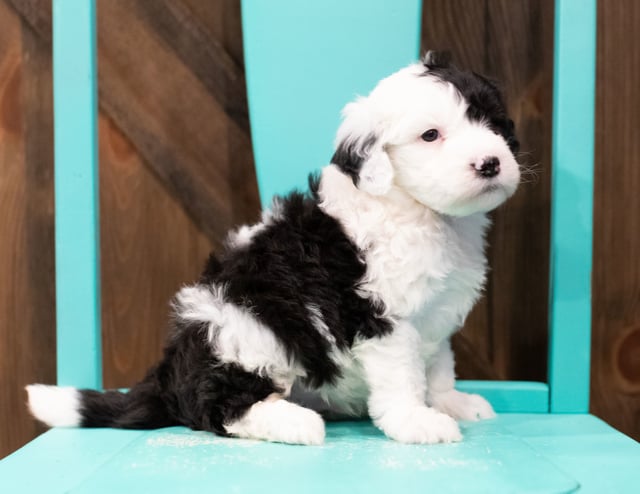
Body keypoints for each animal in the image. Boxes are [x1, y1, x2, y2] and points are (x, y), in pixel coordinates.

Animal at [27, 52, 524, 446]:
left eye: (492, 123)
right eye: (430, 136)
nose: (490, 163)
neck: (418, 210)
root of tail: (169, 374)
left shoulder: (434, 314)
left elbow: (437, 365)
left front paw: (449, 402)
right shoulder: (378, 316)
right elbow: (403, 375)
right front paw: (416, 422)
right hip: (245, 326)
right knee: (220, 406)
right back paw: (295, 423)